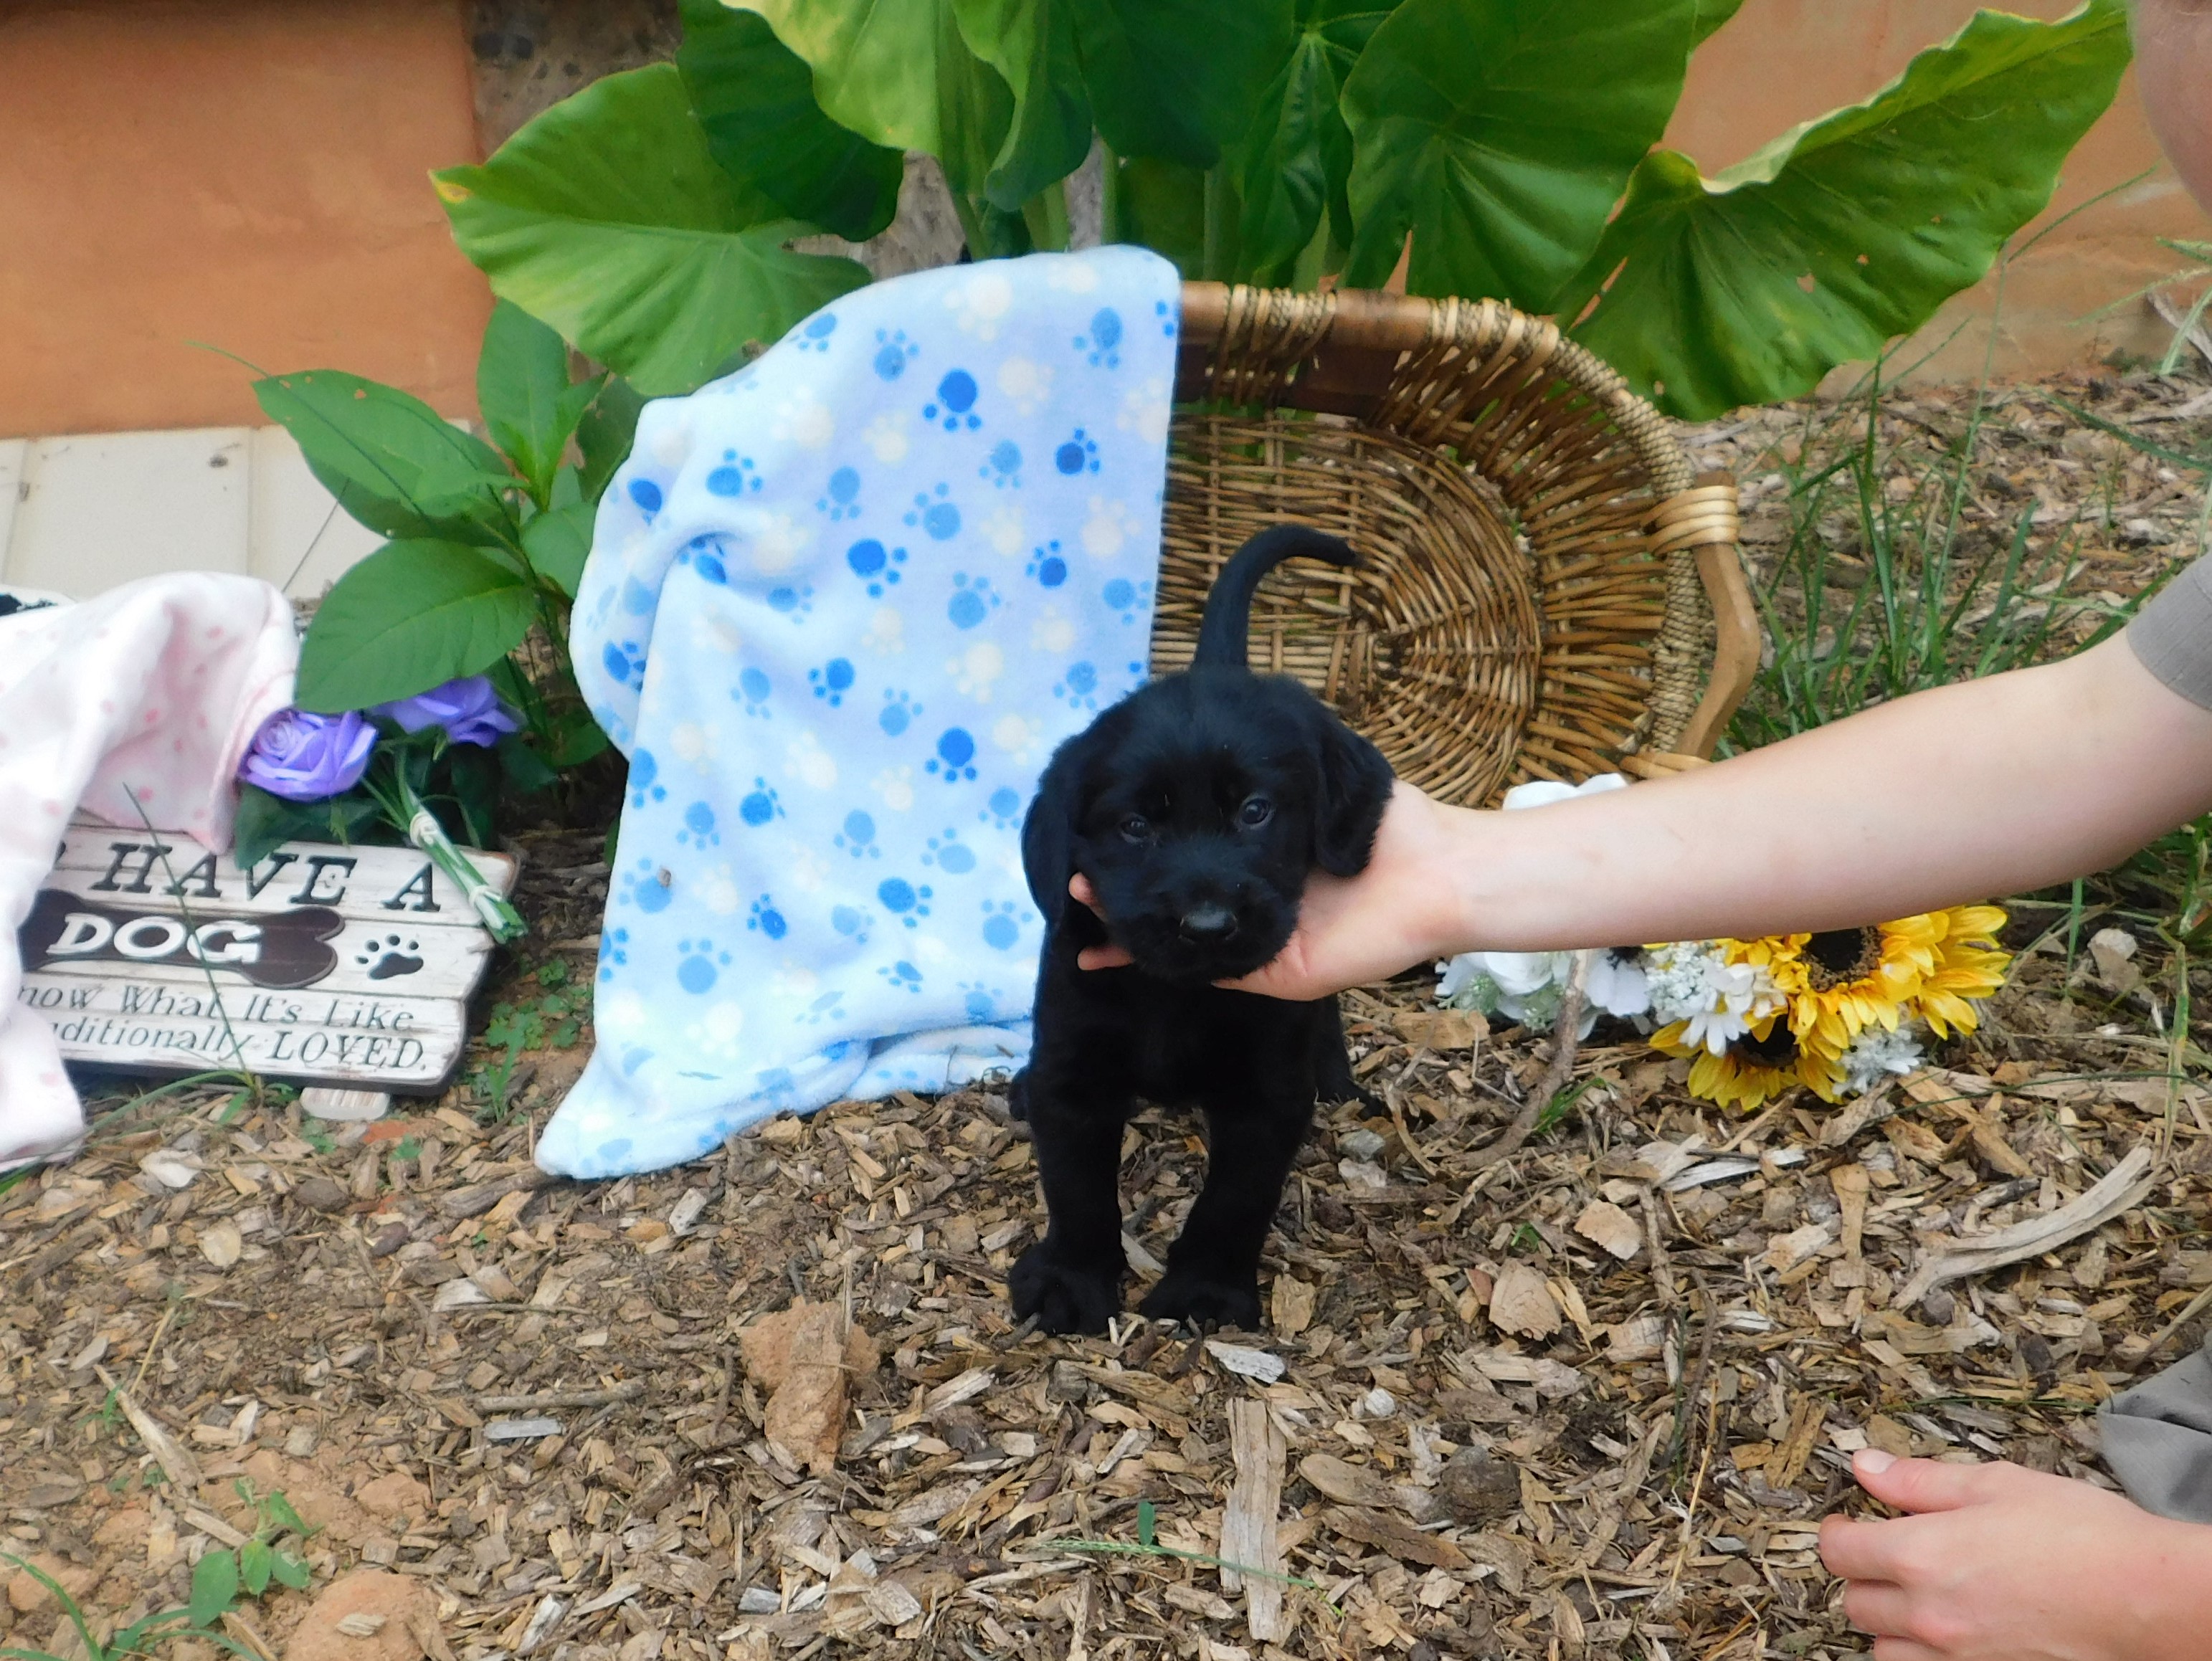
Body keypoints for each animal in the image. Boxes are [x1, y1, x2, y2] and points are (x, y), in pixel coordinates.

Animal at [1008, 524, 1396, 1334]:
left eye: (1254, 810)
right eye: (1134, 826)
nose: (1209, 925)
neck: (1177, 995)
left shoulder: (1265, 1096)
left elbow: (1235, 1199)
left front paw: (1206, 1292)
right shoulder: (1073, 1073)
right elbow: (1076, 1190)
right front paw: (1069, 1280)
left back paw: (1337, 1078)